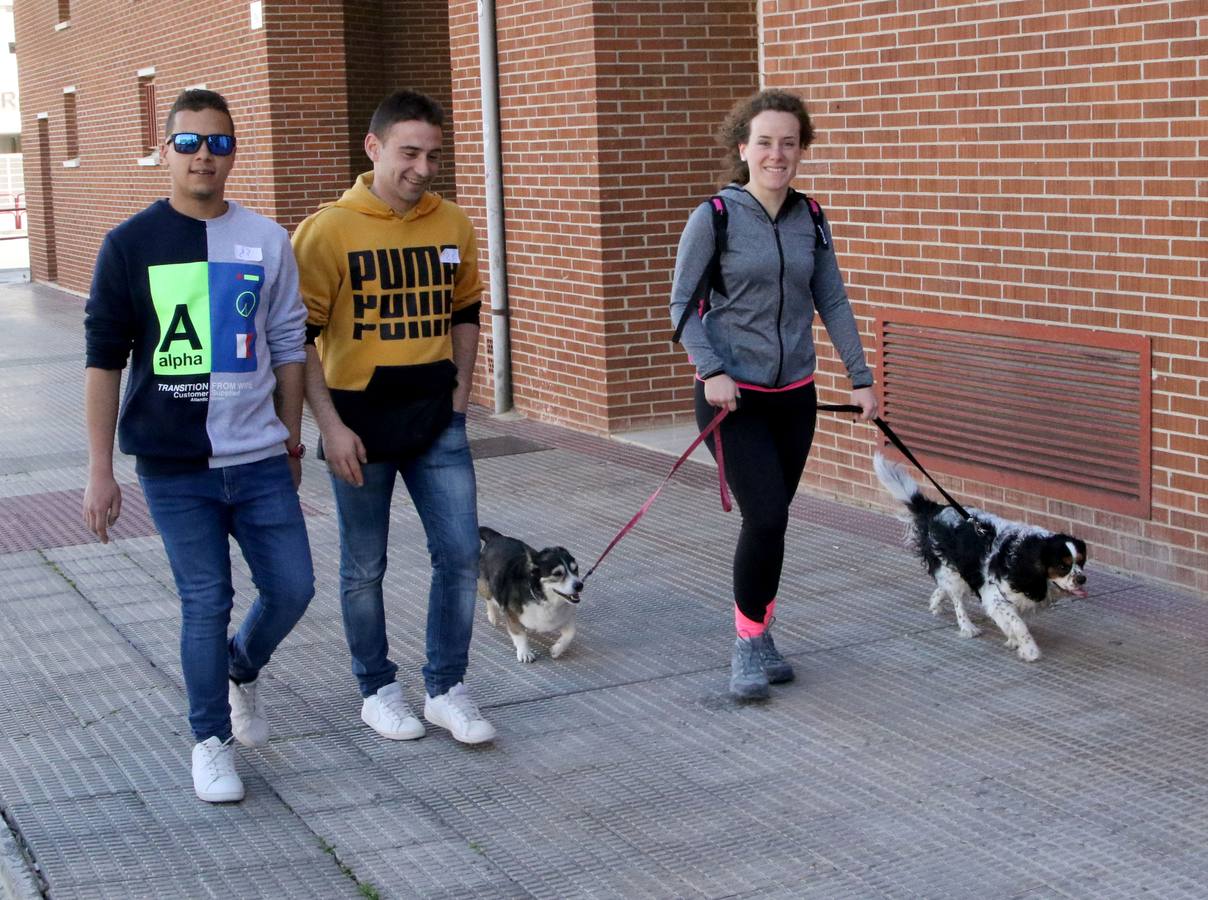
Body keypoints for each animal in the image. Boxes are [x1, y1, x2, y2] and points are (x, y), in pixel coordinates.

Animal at [475, 526, 584, 662]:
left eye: (575, 569)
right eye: (557, 573)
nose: (579, 585)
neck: (545, 601)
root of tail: (495, 537)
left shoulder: (565, 617)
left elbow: (571, 633)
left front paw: (557, 649)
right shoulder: (511, 614)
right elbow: (520, 634)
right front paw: (525, 653)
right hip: (485, 587)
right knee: (489, 599)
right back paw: (493, 616)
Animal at [874, 451, 1092, 657]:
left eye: (1081, 563)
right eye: (1063, 566)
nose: (1082, 579)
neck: (1025, 556)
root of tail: (935, 509)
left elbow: (1010, 622)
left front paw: (1013, 641)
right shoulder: (995, 595)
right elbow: (1017, 623)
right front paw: (1029, 650)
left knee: (944, 588)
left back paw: (936, 602)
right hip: (952, 572)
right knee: (957, 601)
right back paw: (967, 627)